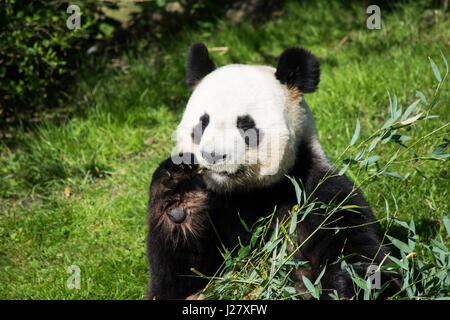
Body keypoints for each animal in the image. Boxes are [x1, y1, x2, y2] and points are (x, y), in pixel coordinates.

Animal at [147, 42, 400, 300]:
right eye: (202, 123)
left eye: (245, 124)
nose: (213, 155)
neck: (249, 192)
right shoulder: (216, 206)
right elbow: (179, 280)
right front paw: (180, 200)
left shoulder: (313, 193)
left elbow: (357, 246)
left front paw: (349, 283)